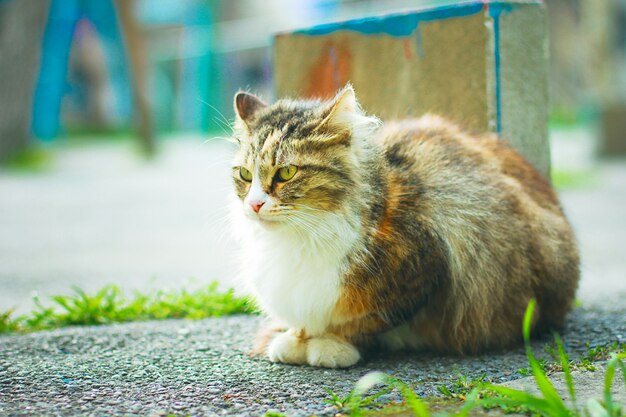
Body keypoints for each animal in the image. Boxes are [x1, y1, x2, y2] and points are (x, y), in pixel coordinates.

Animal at [229, 83, 580, 368]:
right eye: (245, 175)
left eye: (286, 173)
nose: (254, 204)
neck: (300, 238)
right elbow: (303, 320)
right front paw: (295, 338)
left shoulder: (425, 272)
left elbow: (361, 323)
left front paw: (329, 344)